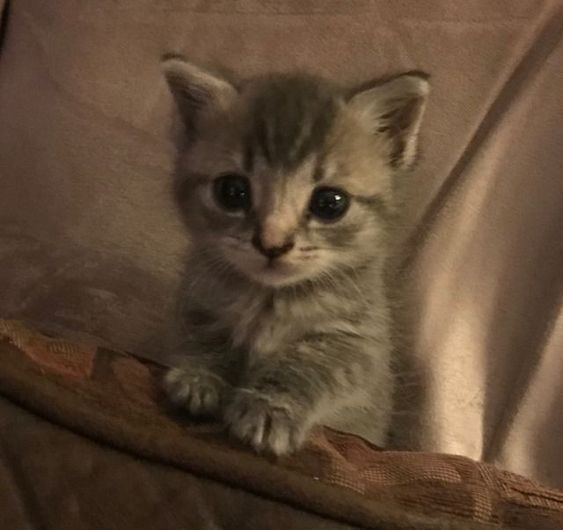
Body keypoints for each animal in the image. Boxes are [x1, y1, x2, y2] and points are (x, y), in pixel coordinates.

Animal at [163, 56, 432, 454]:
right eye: (232, 191)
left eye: (330, 203)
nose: (272, 244)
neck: (269, 300)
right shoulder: (198, 304)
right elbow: (205, 339)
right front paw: (199, 377)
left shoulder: (360, 344)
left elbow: (310, 367)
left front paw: (269, 407)